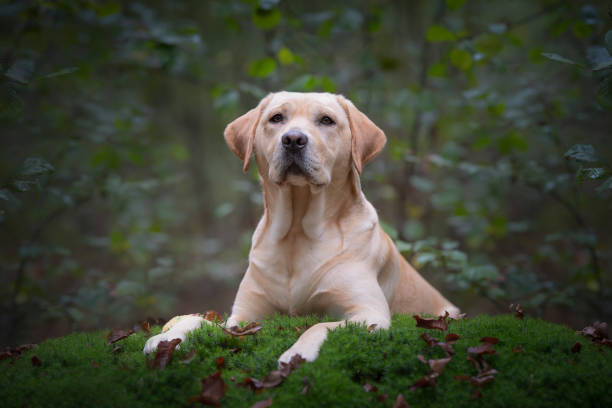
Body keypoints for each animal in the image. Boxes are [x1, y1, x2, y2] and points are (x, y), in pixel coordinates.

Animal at [145, 91, 460, 364]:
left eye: (326, 120)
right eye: (276, 118)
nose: (293, 139)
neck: (297, 230)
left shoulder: (368, 312)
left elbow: (318, 326)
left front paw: (298, 352)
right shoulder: (243, 315)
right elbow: (198, 319)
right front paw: (167, 337)